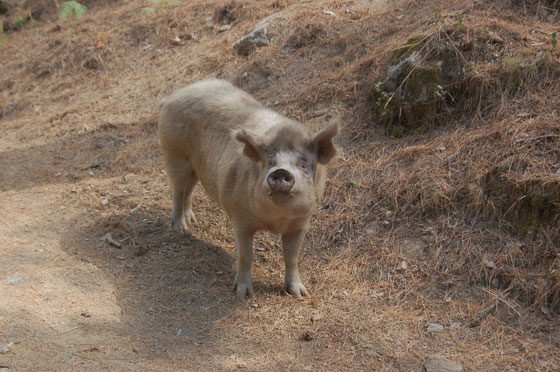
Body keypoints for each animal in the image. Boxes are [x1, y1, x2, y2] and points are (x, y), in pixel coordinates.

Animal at [160, 78, 340, 300]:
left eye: (304, 164)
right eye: (270, 162)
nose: (281, 171)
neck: (276, 220)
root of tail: (173, 95)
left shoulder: (300, 223)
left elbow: (292, 258)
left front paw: (300, 294)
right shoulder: (240, 220)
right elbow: (246, 256)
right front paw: (243, 294)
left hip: (195, 166)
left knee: (189, 189)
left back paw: (191, 220)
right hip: (173, 153)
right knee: (177, 190)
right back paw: (180, 229)